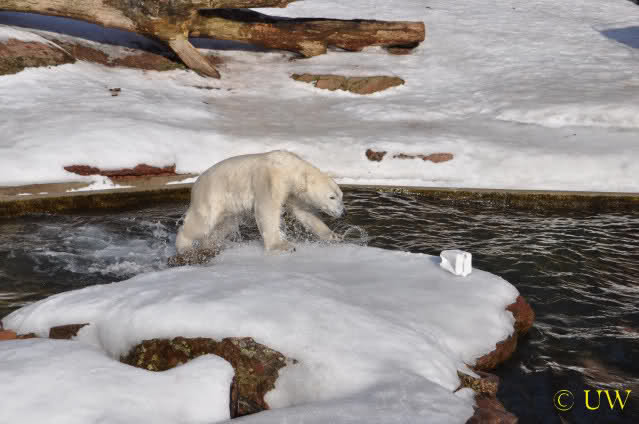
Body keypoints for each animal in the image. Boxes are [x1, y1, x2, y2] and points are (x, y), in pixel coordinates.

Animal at [175, 150, 346, 254]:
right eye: (332, 197)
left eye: (341, 196)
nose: (343, 212)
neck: (288, 167)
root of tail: (196, 185)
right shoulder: (269, 179)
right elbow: (267, 209)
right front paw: (282, 246)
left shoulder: (291, 192)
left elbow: (304, 213)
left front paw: (334, 236)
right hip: (212, 195)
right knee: (201, 224)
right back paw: (184, 247)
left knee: (224, 226)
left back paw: (211, 244)